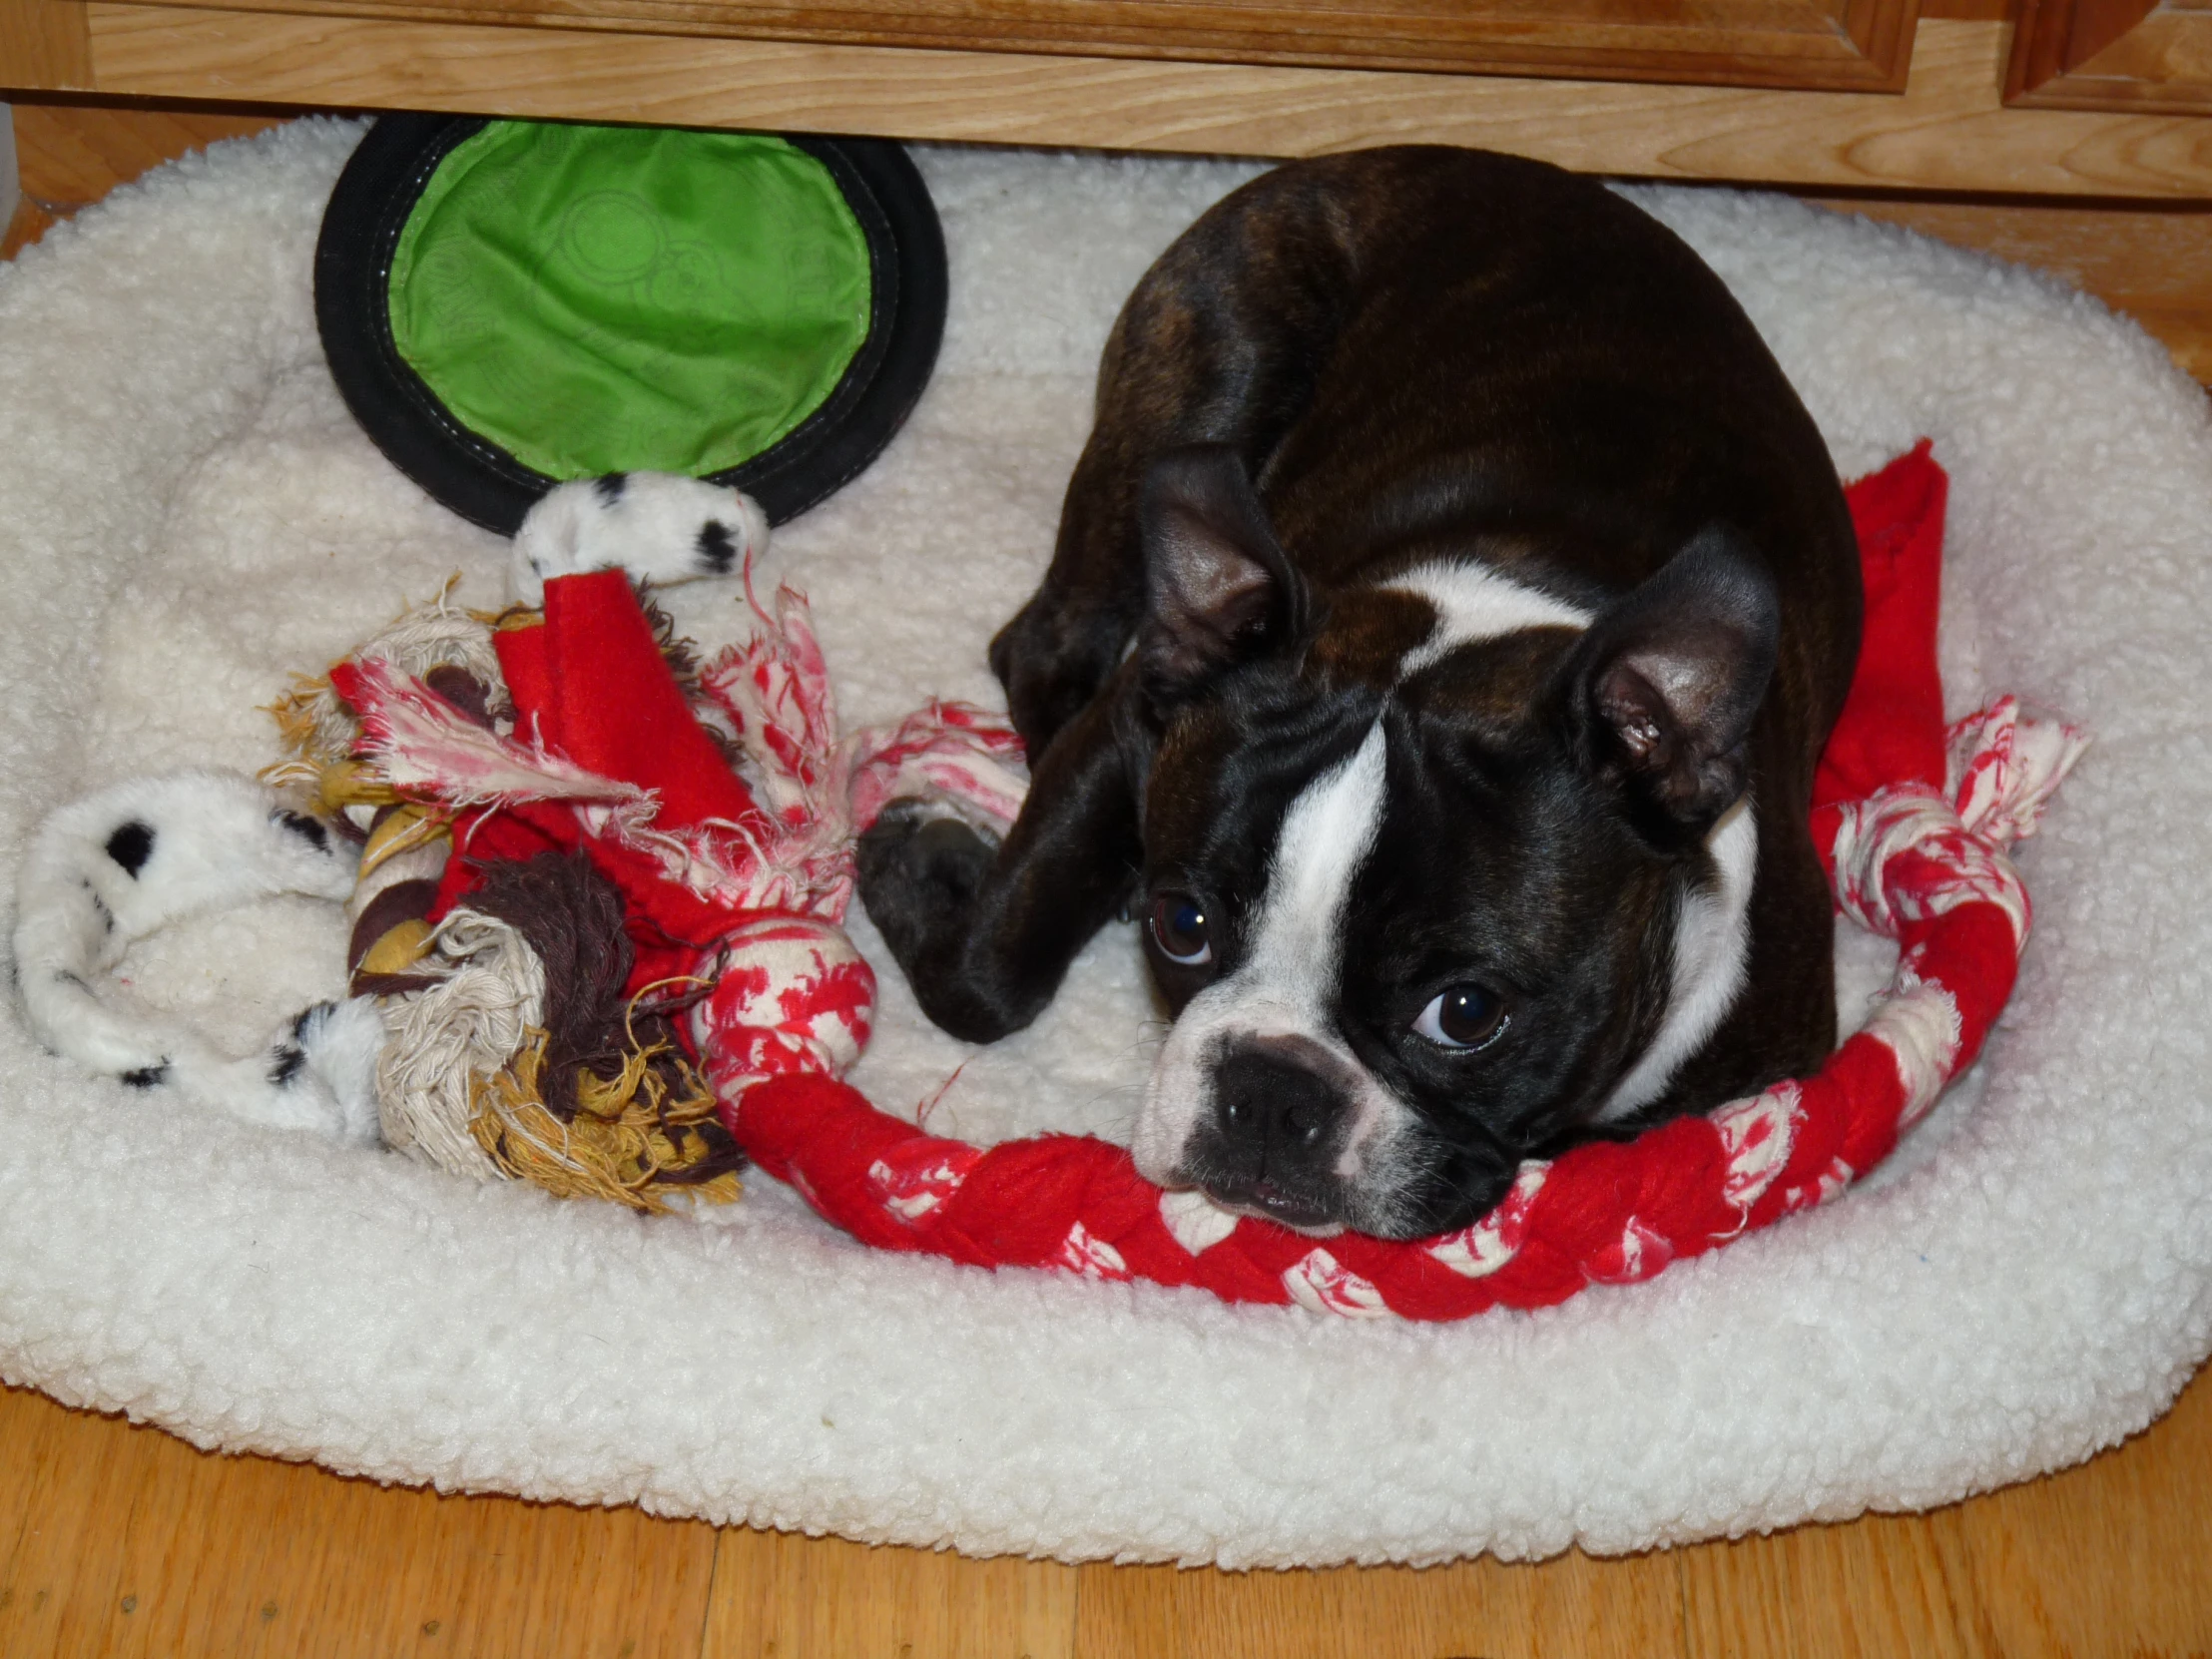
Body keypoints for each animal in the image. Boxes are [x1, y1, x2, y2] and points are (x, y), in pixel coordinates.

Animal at [853, 149, 1858, 1238]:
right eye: (1183, 926)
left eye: (1466, 1014)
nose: (1267, 1089)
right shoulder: (1130, 724)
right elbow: (987, 977)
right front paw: (925, 867)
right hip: (1216, 368)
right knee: (1042, 640)